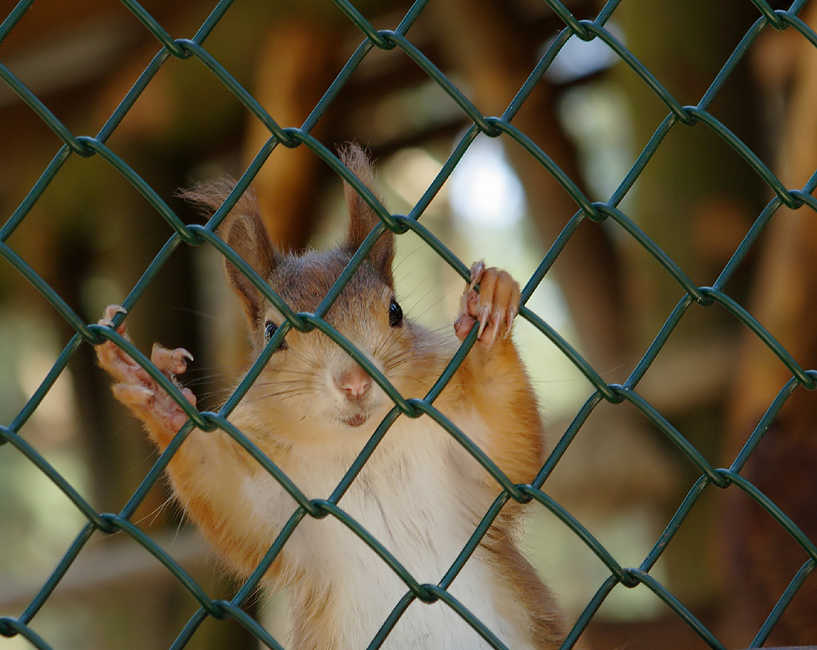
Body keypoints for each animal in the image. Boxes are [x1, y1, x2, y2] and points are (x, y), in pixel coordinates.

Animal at [95, 143, 564, 648]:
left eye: (395, 311)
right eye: (272, 333)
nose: (355, 382)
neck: (358, 448)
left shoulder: (468, 466)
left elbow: (506, 449)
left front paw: (490, 309)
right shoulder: (286, 510)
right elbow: (232, 501)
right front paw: (159, 395)